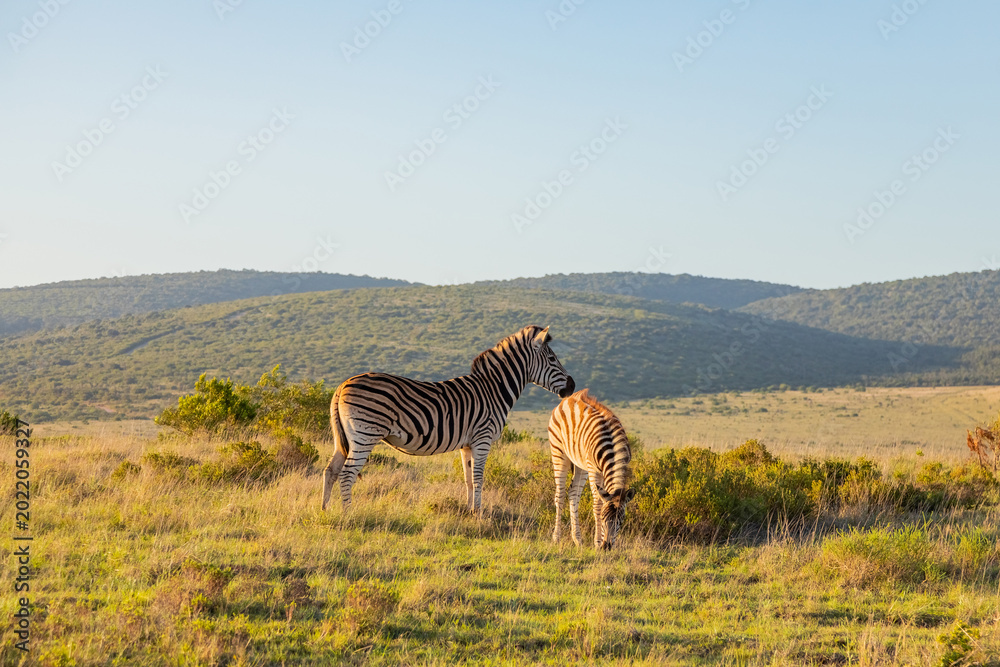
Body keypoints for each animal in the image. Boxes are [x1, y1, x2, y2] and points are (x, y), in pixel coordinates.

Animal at [321, 325, 575, 513]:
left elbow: (469, 479)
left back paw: (325, 511)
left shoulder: (467, 444)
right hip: (365, 435)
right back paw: (348, 514)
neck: (494, 390)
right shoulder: (483, 438)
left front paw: (469, 511)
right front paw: (479, 514)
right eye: (552, 358)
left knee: (330, 470)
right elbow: (479, 478)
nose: (572, 386)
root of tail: (342, 385)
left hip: (345, 437)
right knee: (347, 474)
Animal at [549, 389, 634, 549]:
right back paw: (556, 537)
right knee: (560, 494)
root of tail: (568, 398)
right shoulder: (594, 469)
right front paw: (597, 542)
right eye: (603, 518)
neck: (613, 451)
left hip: (580, 463)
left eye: (620, 521)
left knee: (573, 493)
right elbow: (597, 504)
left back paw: (577, 539)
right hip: (559, 451)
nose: (607, 547)